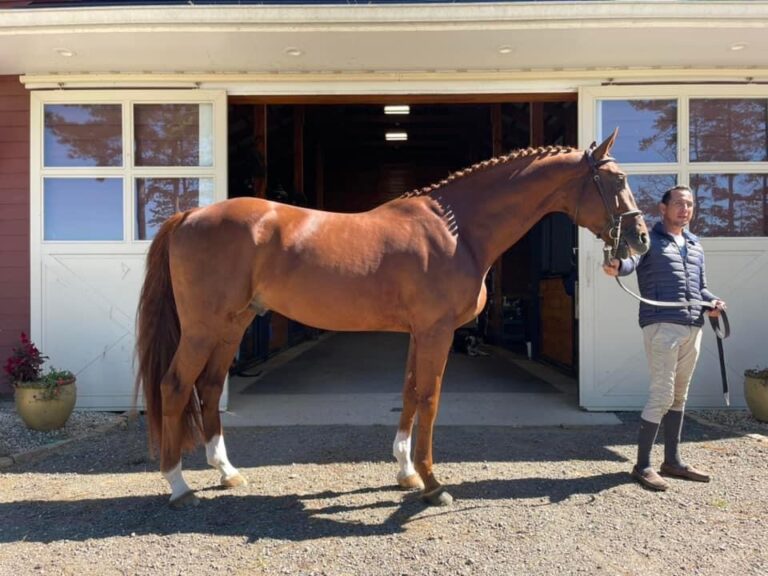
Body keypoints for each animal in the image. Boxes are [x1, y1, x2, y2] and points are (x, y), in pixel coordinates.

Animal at [136, 127, 648, 508]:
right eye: (618, 180)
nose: (640, 238)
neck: (458, 230)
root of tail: (189, 216)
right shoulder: (437, 332)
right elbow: (431, 398)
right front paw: (432, 483)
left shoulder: (420, 333)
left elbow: (409, 392)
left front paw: (405, 472)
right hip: (203, 328)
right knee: (175, 386)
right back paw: (178, 485)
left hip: (232, 325)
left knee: (206, 387)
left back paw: (227, 473)